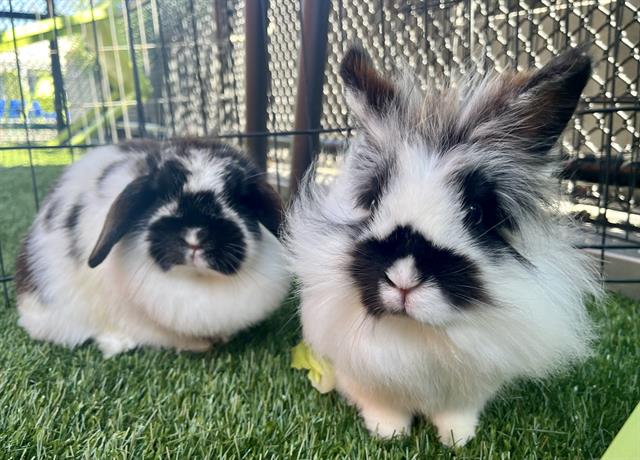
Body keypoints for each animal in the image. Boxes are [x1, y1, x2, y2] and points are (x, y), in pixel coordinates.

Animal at [288, 47, 596, 446]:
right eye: (373, 199)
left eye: (476, 212)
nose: (403, 278)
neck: (418, 333)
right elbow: (380, 405)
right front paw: (389, 433)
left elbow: (458, 413)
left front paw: (457, 438)